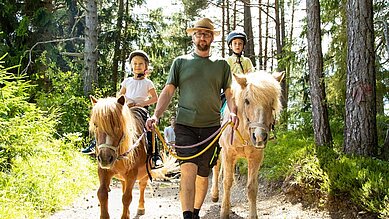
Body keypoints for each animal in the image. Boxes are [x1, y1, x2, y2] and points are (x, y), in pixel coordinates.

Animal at [211, 71, 284, 218]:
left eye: (271, 102)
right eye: (247, 101)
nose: (260, 136)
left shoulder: (256, 157)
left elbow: (252, 187)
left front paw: (253, 215)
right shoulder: (228, 153)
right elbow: (227, 182)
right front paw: (224, 212)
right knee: (216, 168)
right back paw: (215, 195)